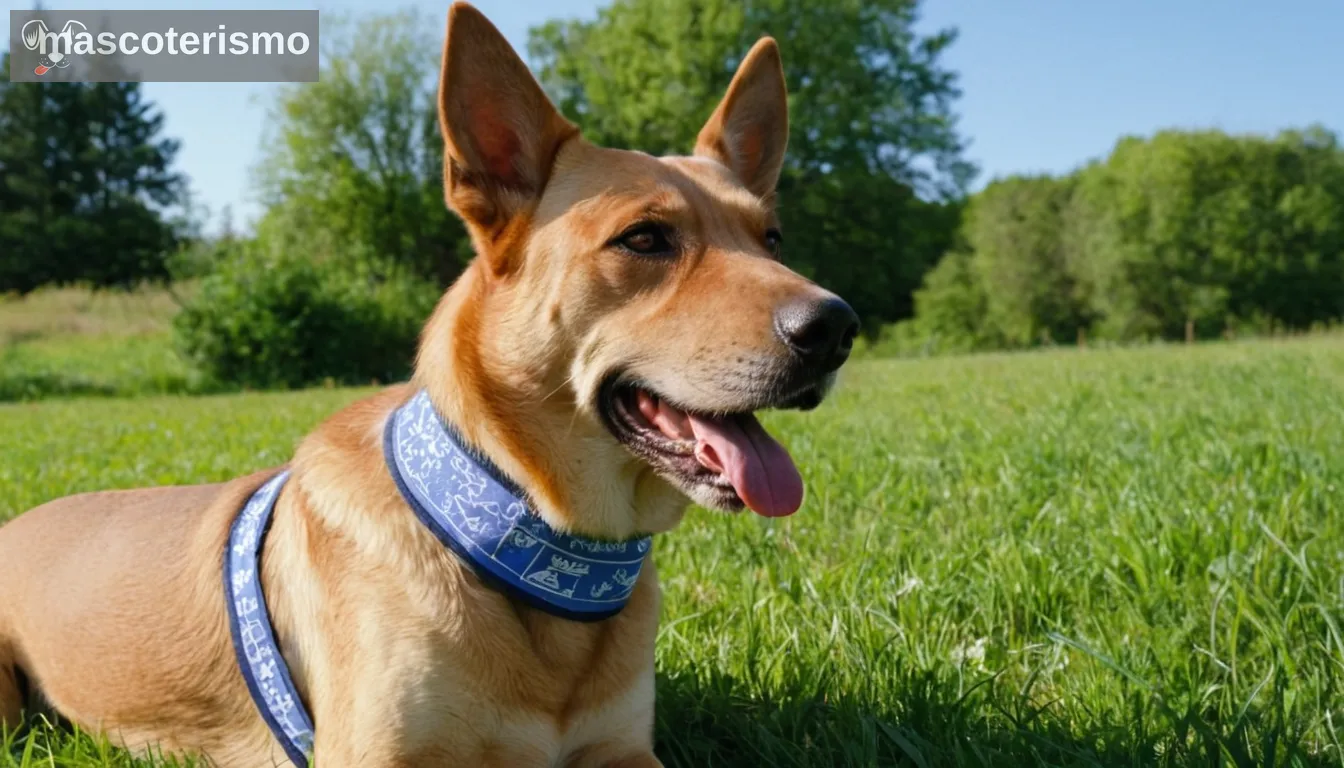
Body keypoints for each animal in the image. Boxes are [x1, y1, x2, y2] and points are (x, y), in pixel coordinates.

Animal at [0, 3, 854, 763]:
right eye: (644, 239)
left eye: (772, 238)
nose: (835, 327)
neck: (521, 543)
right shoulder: (376, 755)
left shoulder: (621, 749)